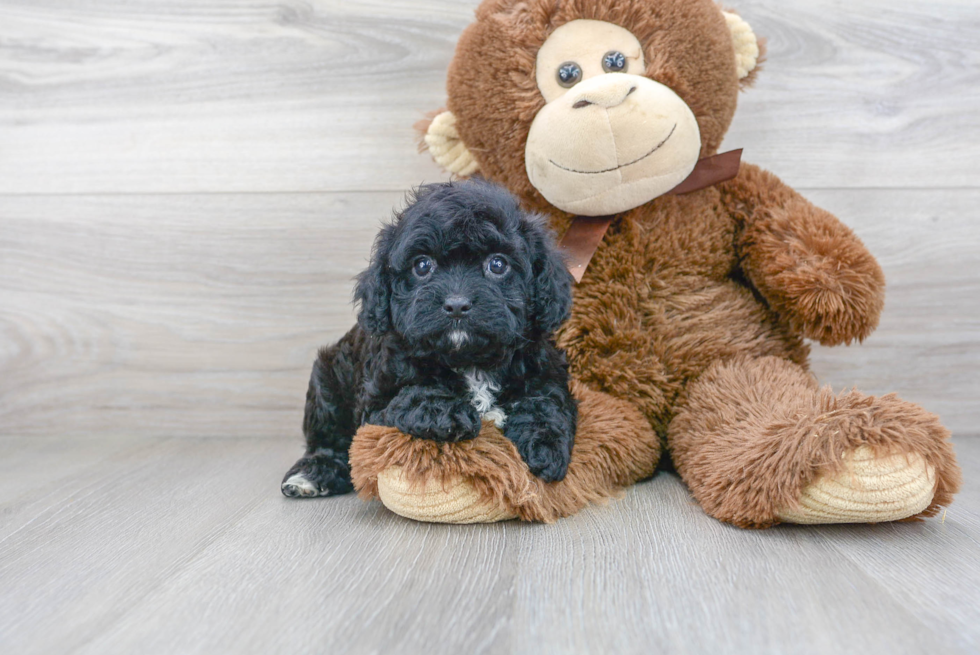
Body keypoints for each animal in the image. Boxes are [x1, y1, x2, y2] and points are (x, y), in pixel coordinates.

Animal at [280, 179, 580, 498]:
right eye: (422, 266)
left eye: (498, 265)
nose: (457, 304)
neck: (470, 361)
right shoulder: (375, 406)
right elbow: (412, 396)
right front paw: (445, 412)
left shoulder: (545, 370)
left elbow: (547, 402)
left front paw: (544, 446)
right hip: (326, 380)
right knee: (329, 439)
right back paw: (314, 473)